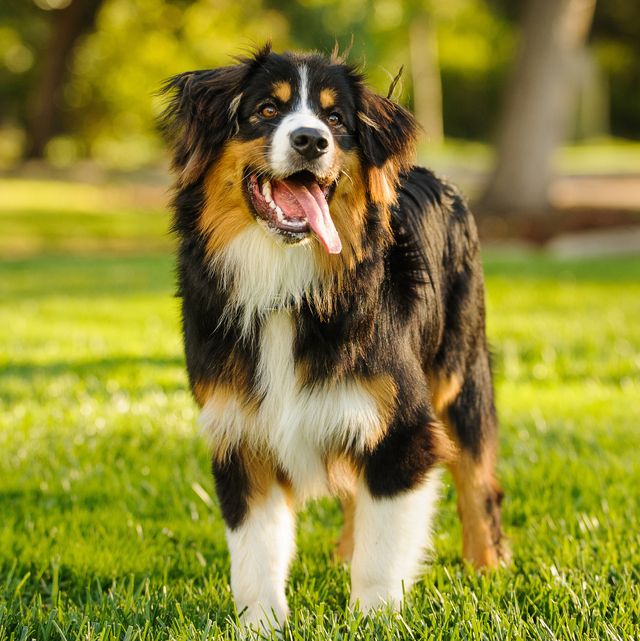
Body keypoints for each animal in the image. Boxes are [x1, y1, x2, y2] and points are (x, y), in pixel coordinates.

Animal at [161, 46, 510, 632]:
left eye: (336, 119)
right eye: (265, 110)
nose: (311, 140)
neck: (288, 283)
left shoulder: (402, 426)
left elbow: (384, 547)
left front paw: (375, 618)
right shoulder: (241, 432)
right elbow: (255, 550)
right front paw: (260, 624)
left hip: (460, 373)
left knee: (477, 478)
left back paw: (489, 567)